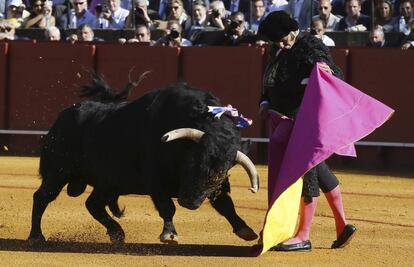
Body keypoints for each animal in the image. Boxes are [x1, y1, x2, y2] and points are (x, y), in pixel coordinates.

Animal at [27, 80, 258, 245]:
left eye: (219, 174)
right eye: (192, 163)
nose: (189, 203)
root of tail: (62, 118)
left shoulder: (219, 185)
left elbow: (226, 206)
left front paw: (246, 230)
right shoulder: (155, 179)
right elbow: (167, 207)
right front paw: (169, 235)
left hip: (108, 182)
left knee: (93, 204)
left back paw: (117, 234)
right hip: (58, 172)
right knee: (42, 197)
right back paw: (36, 236)